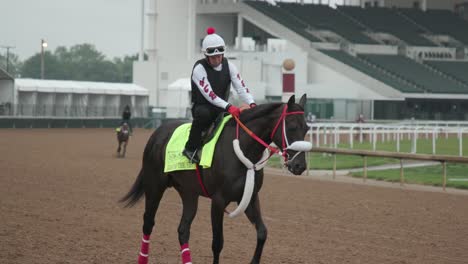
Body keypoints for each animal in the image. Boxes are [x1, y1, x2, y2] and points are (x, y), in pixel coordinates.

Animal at [119, 94, 310, 262]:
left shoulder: (250, 197)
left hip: (189, 193)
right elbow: (217, 243)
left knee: (183, 230)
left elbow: (262, 233)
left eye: (307, 128)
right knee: (148, 223)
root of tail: (157, 133)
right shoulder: (218, 201)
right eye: (292, 126)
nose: (300, 165)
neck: (241, 149)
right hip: (155, 186)